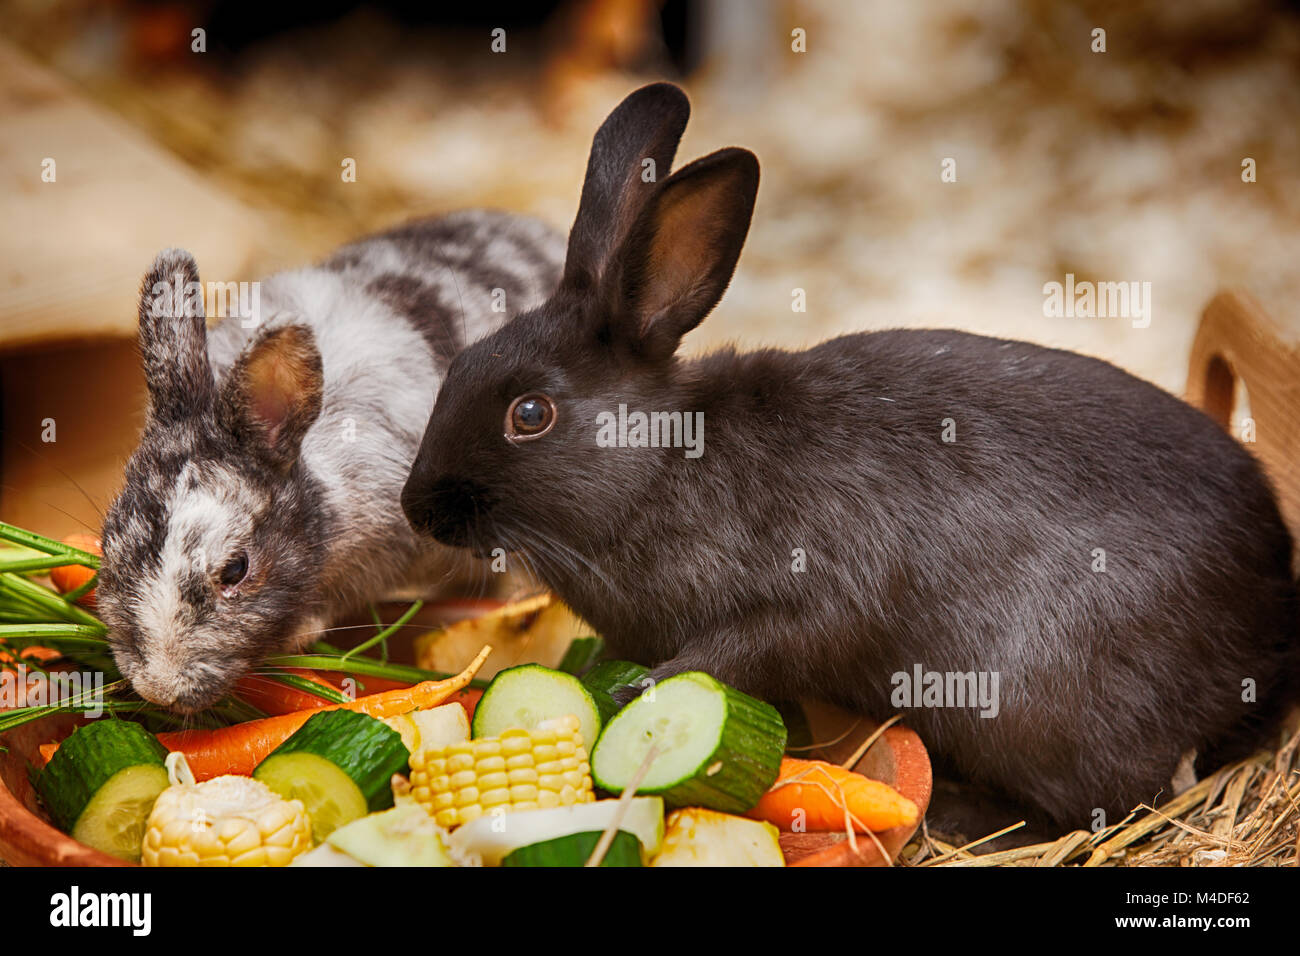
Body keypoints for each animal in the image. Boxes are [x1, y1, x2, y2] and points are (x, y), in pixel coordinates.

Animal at [399, 83, 1300, 831]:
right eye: (462, 361)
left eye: (530, 414)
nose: (419, 508)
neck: (661, 466)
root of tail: (1271, 621)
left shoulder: (807, 601)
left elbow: (745, 651)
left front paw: (643, 691)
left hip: (1041, 708)